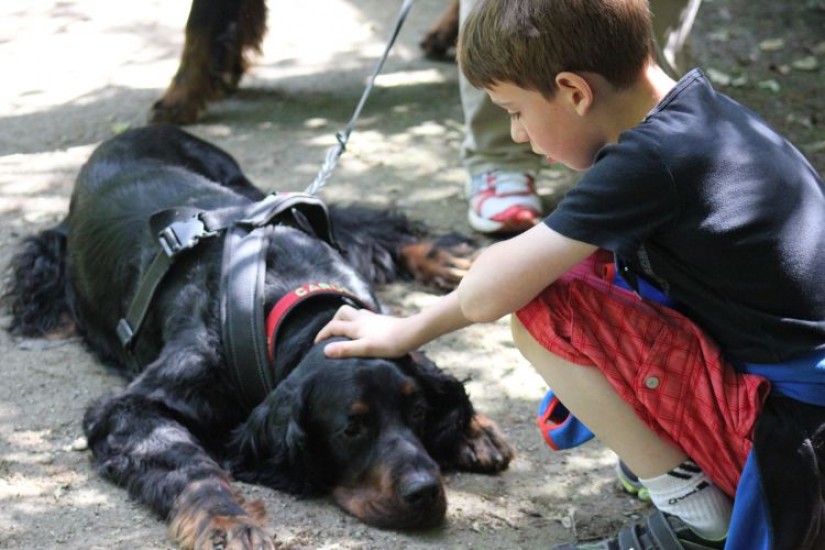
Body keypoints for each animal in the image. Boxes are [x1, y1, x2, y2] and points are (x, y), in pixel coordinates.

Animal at [3, 124, 512, 549]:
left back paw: (451, 260)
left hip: (271, 200)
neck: (294, 303)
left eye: (419, 411)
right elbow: (189, 463)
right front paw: (225, 520)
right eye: (351, 429)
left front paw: (473, 427)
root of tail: (137, 128)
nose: (425, 491)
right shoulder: (130, 407)